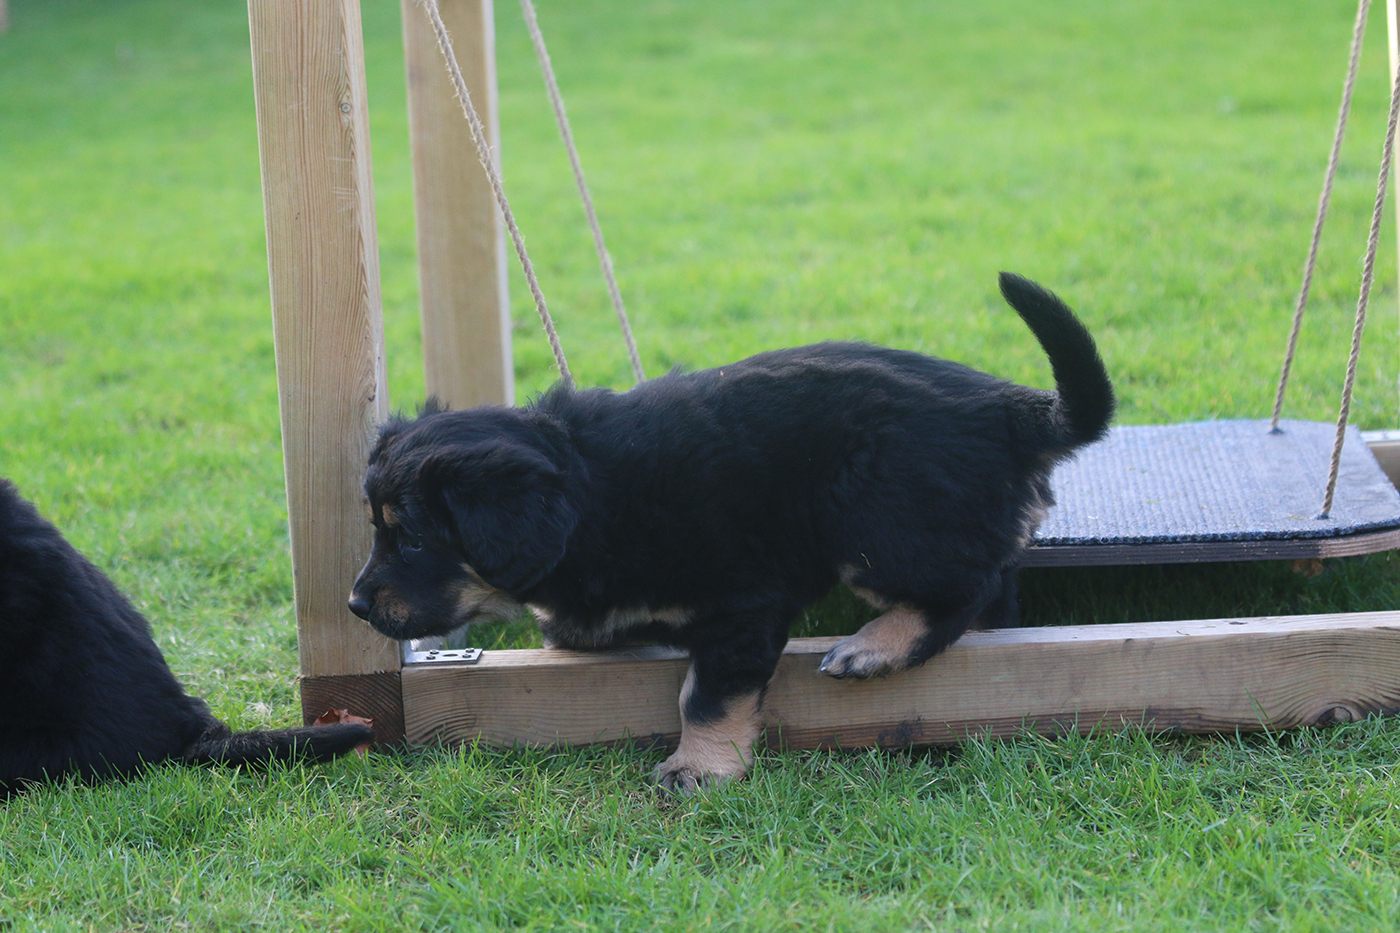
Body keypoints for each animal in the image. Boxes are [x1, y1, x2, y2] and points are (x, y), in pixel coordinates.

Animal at [349, 273, 1114, 793]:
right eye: (380, 531)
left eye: (411, 540)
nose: (354, 605)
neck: (594, 494)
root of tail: (1008, 408)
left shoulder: (743, 599)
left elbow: (708, 691)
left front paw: (699, 767)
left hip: (872, 514)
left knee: (964, 588)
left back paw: (874, 647)